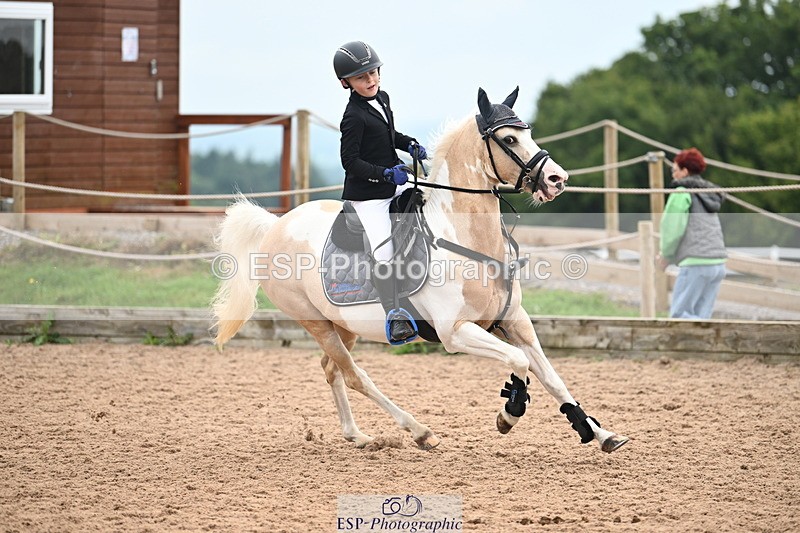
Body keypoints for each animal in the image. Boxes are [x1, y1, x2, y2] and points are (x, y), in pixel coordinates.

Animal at [212, 87, 629, 453]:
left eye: (528, 133)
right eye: (509, 139)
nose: (558, 179)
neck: (466, 240)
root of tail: (275, 225)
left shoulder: (515, 321)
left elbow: (552, 376)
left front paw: (599, 432)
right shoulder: (455, 332)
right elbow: (519, 362)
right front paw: (510, 410)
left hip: (342, 325)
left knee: (332, 369)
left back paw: (357, 435)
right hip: (314, 322)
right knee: (354, 374)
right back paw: (419, 431)